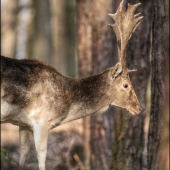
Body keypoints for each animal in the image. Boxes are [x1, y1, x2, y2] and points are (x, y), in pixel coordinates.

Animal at [0, 0, 143, 169]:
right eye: (126, 85)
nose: (139, 108)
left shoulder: (24, 124)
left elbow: (23, 155)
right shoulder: (41, 119)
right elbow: (42, 157)